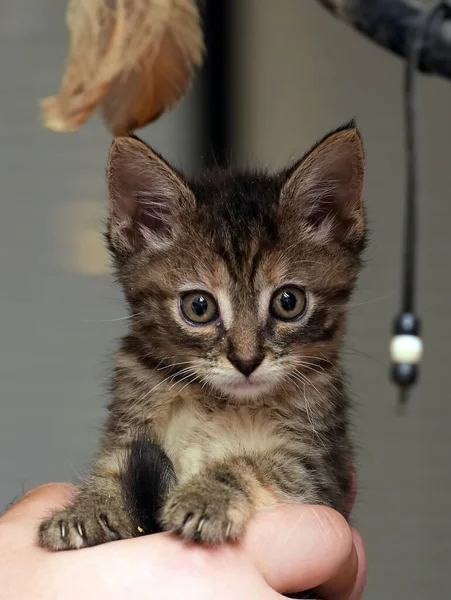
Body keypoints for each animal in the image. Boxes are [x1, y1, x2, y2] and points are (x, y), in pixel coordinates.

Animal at [38, 122, 368, 552]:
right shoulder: (129, 429)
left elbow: (256, 463)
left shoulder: (320, 470)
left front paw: (205, 497)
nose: (246, 361)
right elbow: (110, 467)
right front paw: (86, 508)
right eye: (199, 307)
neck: (220, 403)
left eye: (288, 302)